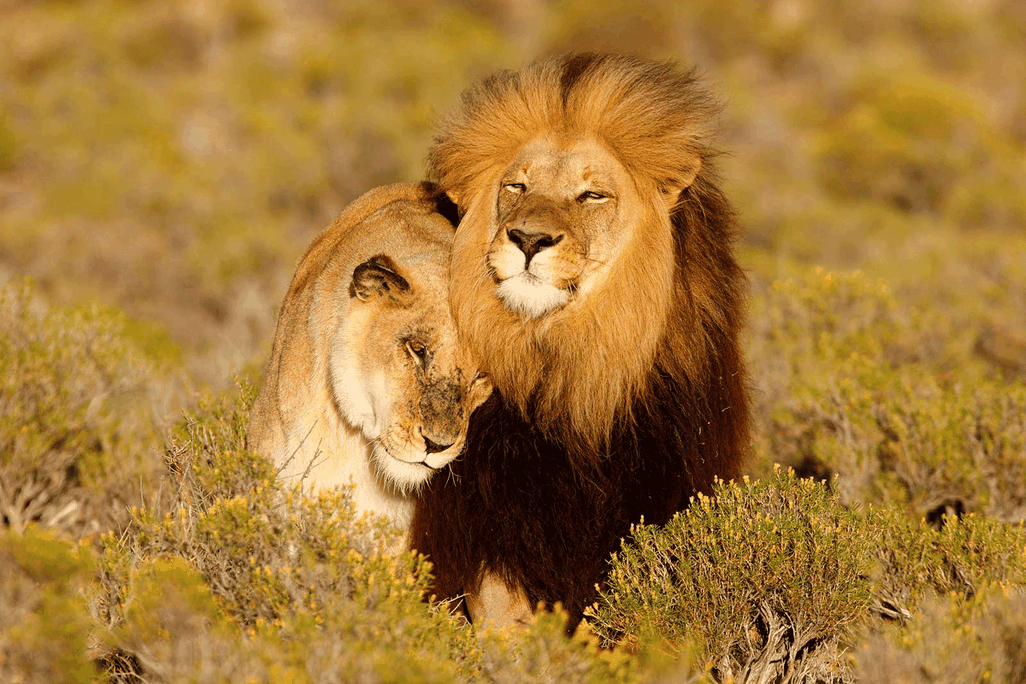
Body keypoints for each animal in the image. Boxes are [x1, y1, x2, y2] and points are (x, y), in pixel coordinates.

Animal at [409, 54, 751, 630]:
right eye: (517, 187)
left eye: (591, 195)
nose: (528, 239)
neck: (566, 365)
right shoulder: (487, 523)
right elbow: (503, 617)